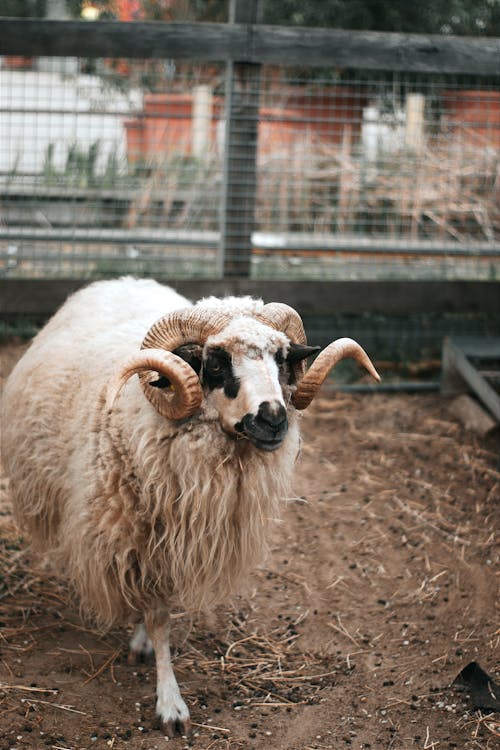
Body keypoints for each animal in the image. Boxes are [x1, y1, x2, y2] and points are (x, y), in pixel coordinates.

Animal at [0, 278, 378, 740]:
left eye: (281, 357)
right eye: (215, 363)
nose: (274, 419)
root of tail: (122, 280)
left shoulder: (167, 537)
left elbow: (157, 611)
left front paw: (146, 647)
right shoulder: (136, 532)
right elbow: (159, 617)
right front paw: (170, 703)